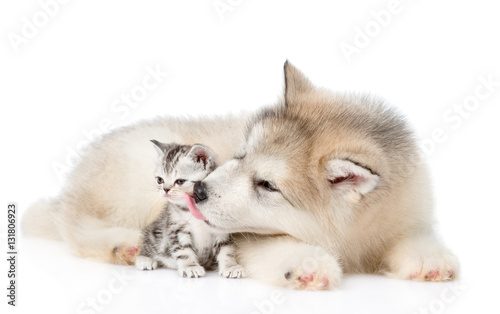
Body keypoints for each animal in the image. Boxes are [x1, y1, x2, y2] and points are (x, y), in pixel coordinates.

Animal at [135, 141, 246, 278]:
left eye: (180, 181)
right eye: (160, 180)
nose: (165, 189)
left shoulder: (221, 229)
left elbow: (226, 249)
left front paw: (231, 266)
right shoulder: (176, 229)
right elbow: (183, 251)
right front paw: (190, 267)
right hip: (155, 232)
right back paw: (145, 259)